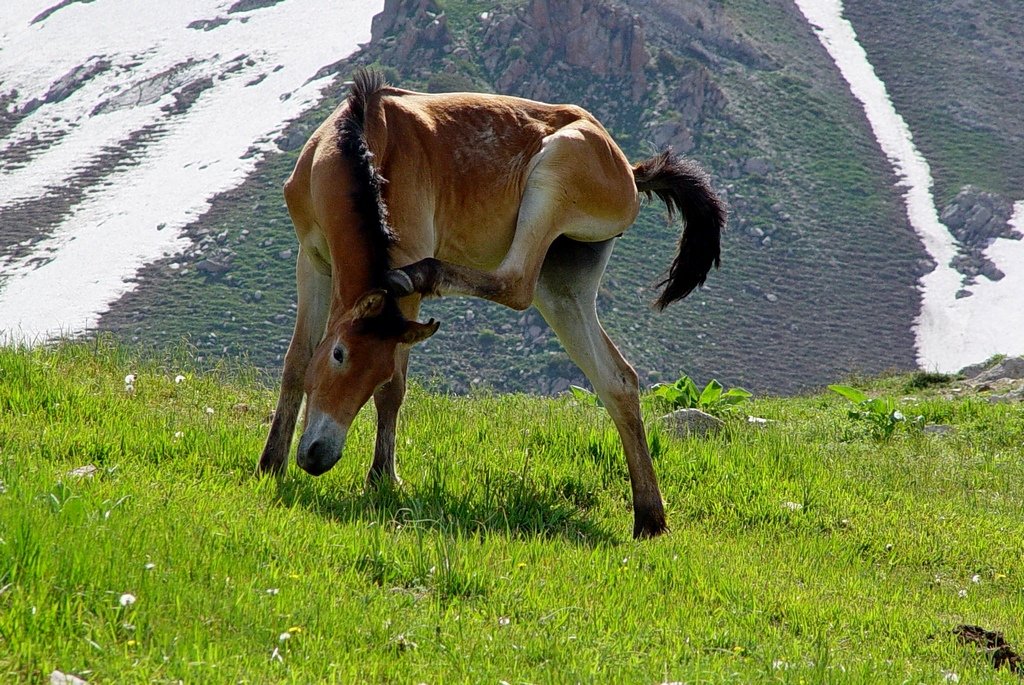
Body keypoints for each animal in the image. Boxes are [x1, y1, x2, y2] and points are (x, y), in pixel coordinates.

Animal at [260, 70, 733, 540]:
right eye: (339, 355)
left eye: (369, 368)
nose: (318, 456)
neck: (364, 142)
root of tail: (630, 171)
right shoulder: (312, 261)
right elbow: (298, 361)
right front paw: (270, 464)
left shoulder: (401, 290)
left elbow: (393, 389)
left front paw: (382, 477)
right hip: (563, 287)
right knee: (617, 380)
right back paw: (649, 516)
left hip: (551, 178)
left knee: (515, 284)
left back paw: (425, 274)